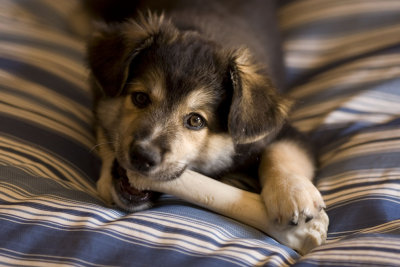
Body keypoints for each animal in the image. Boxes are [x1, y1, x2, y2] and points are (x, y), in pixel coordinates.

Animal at [86, 0, 328, 254]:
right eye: (140, 98)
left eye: (195, 121)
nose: (142, 157)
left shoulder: (284, 131)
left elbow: (281, 151)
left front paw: (293, 194)